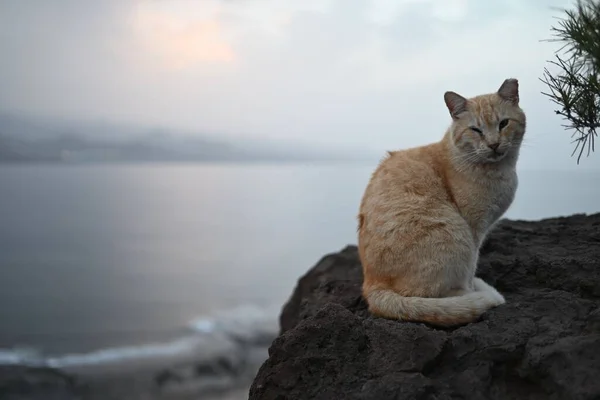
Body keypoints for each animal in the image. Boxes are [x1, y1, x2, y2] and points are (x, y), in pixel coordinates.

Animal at [356, 79, 524, 328]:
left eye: (504, 123)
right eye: (476, 130)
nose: (494, 144)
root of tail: (372, 286)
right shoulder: (474, 230)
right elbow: (472, 266)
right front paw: (473, 288)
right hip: (455, 233)